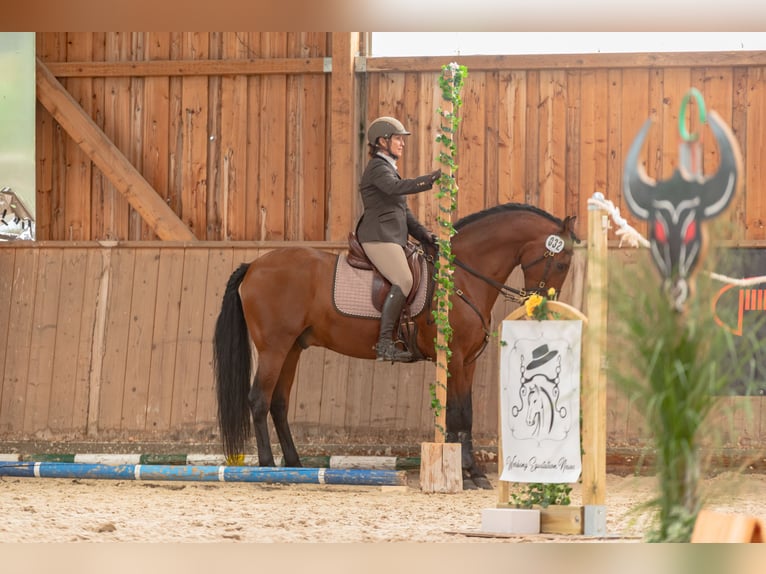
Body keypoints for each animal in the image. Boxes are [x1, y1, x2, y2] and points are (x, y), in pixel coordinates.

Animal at [213, 202, 580, 490]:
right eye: (562, 263)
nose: (540, 306)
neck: (460, 278)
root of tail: (254, 266)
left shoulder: (467, 361)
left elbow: (463, 414)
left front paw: (465, 471)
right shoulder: (456, 358)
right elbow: (460, 414)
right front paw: (470, 473)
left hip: (292, 348)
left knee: (278, 403)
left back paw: (295, 466)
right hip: (274, 348)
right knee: (259, 400)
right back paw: (267, 469)